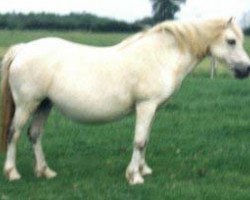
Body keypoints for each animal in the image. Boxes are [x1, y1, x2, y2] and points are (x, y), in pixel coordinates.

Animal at [1, 17, 250, 184]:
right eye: (231, 41)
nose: (246, 70)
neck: (160, 56)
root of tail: (23, 49)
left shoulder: (153, 108)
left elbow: (145, 139)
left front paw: (144, 169)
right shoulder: (146, 105)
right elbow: (139, 141)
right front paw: (134, 176)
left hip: (44, 104)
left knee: (34, 134)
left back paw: (45, 171)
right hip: (27, 104)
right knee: (14, 133)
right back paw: (12, 172)